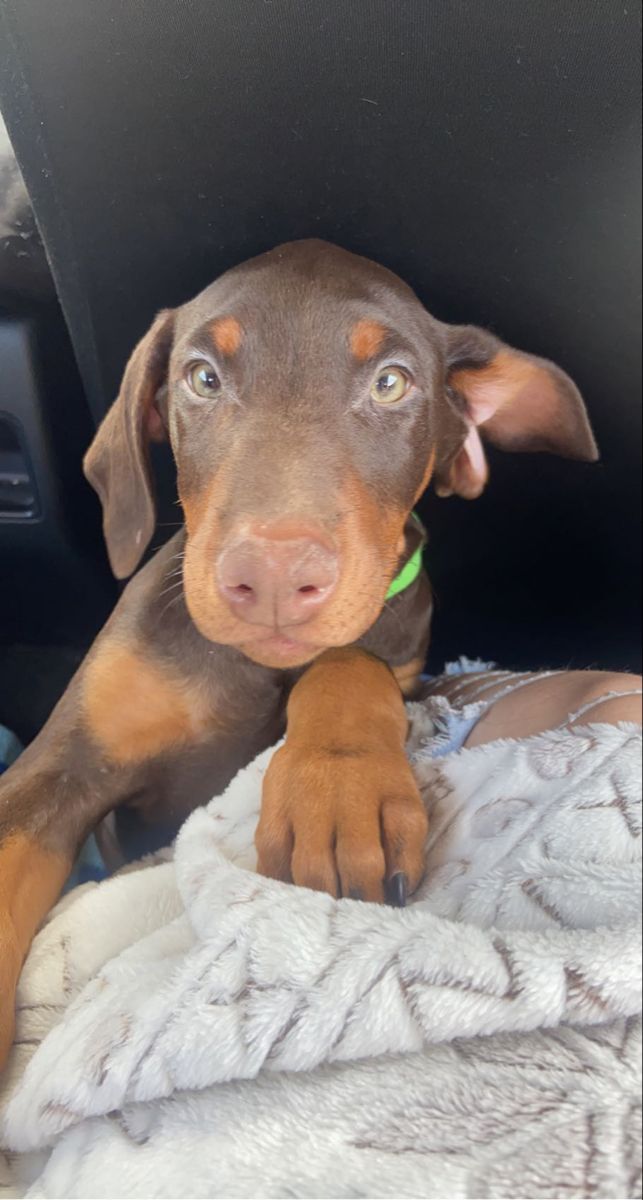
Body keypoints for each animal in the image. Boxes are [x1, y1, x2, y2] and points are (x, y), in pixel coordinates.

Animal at [0, 238, 597, 1065]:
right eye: (202, 377)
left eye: (390, 383)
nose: (274, 580)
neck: (263, 667)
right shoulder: (62, 769)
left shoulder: (406, 665)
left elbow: (349, 662)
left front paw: (336, 789)